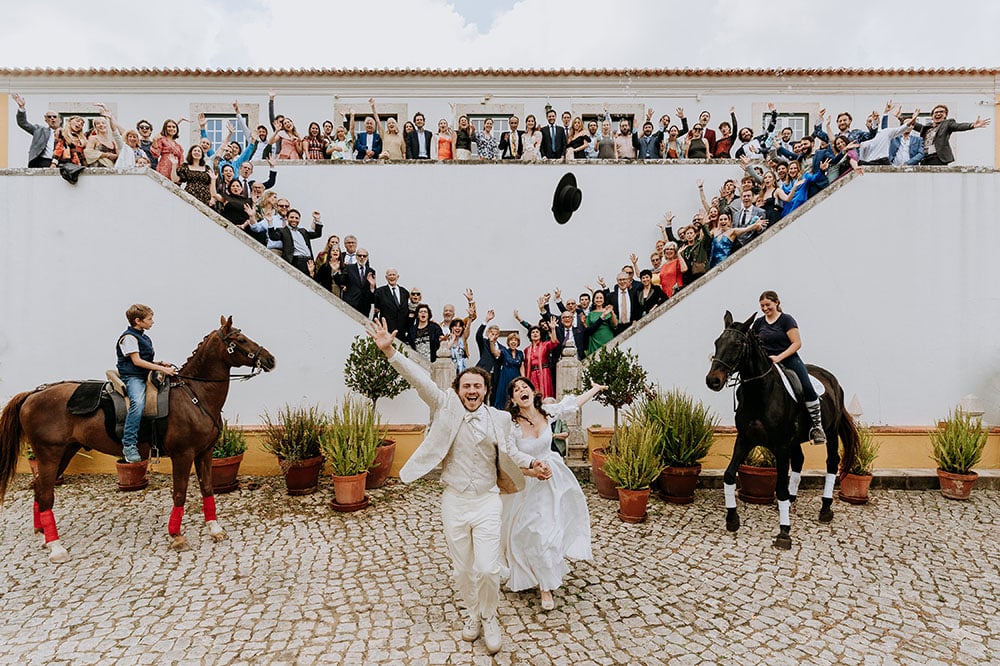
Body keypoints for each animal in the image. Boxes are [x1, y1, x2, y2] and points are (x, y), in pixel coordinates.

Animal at [0, 316, 274, 560]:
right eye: (240, 339)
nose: (270, 359)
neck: (194, 395)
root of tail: (33, 394)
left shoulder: (204, 453)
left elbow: (207, 488)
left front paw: (215, 529)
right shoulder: (183, 455)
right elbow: (180, 492)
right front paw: (177, 536)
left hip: (64, 452)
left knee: (39, 489)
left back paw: (42, 532)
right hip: (49, 454)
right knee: (46, 494)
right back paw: (56, 547)